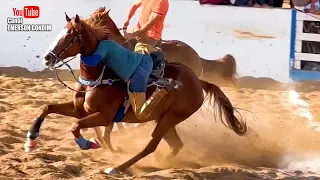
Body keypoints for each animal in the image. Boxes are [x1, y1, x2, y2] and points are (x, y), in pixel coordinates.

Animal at [25, 12, 248, 173]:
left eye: (69, 36)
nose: (47, 58)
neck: (99, 77)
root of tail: (198, 81)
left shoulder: (104, 116)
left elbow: (77, 126)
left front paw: (88, 144)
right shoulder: (81, 109)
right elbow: (48, 107)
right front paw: (31, 139)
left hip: (170, 119)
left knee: (151, 145)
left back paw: (118, 167)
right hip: (165, 120)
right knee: (175, 145)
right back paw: (161, 163)